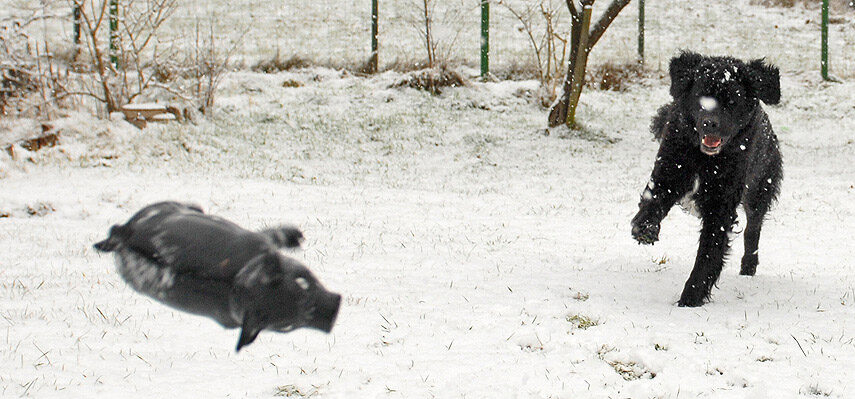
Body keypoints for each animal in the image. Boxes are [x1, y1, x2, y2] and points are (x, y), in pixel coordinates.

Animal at [96, 202, 342, 352]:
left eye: (305, 281)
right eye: (290, 326)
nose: (333, 313)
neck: (238, 282)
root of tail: (124, 236)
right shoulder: (262, 241)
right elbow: (274, 234)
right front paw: (291, 235)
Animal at [632, 52, 784, 310]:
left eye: (733, 100)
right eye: (700, 96)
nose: (710, 122)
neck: (704, 160)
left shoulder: (721, 204)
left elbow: (709, 252)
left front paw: (690, 298)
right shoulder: (669, 168)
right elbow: (653, 198)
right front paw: (645, 228)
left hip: (759, 188)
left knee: (753, 229)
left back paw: (748, 266)